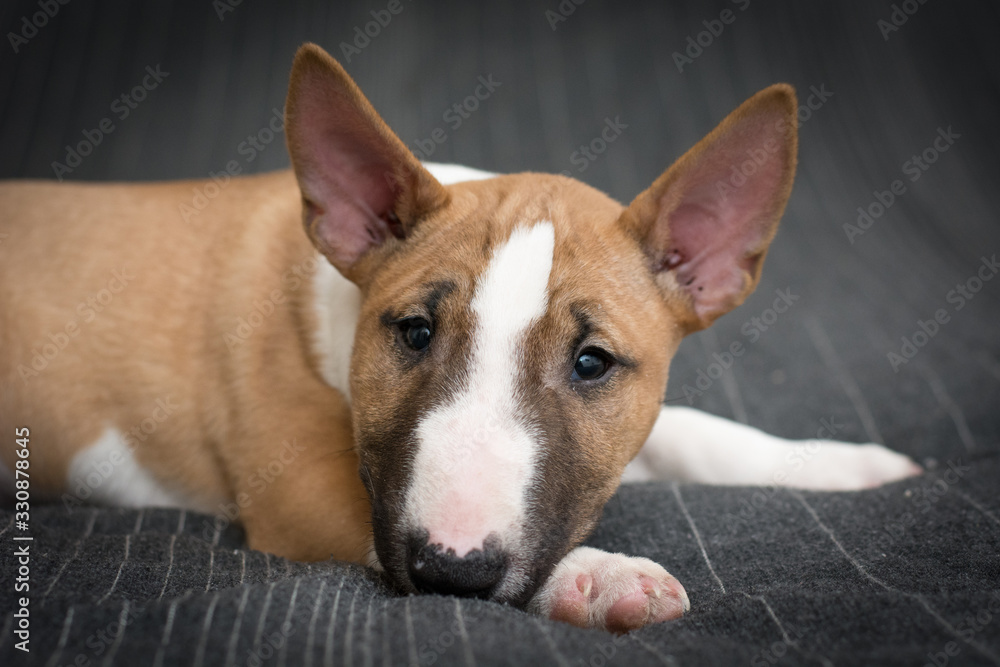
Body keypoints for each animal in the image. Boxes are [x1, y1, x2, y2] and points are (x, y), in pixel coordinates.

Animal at [0, 45, 920, 632]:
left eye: (593, 362)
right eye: (413, 331)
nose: (453, 571)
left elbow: (694, 432)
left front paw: (839, 463)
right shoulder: (296, 486)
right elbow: (370, 519)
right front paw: (597, 575)